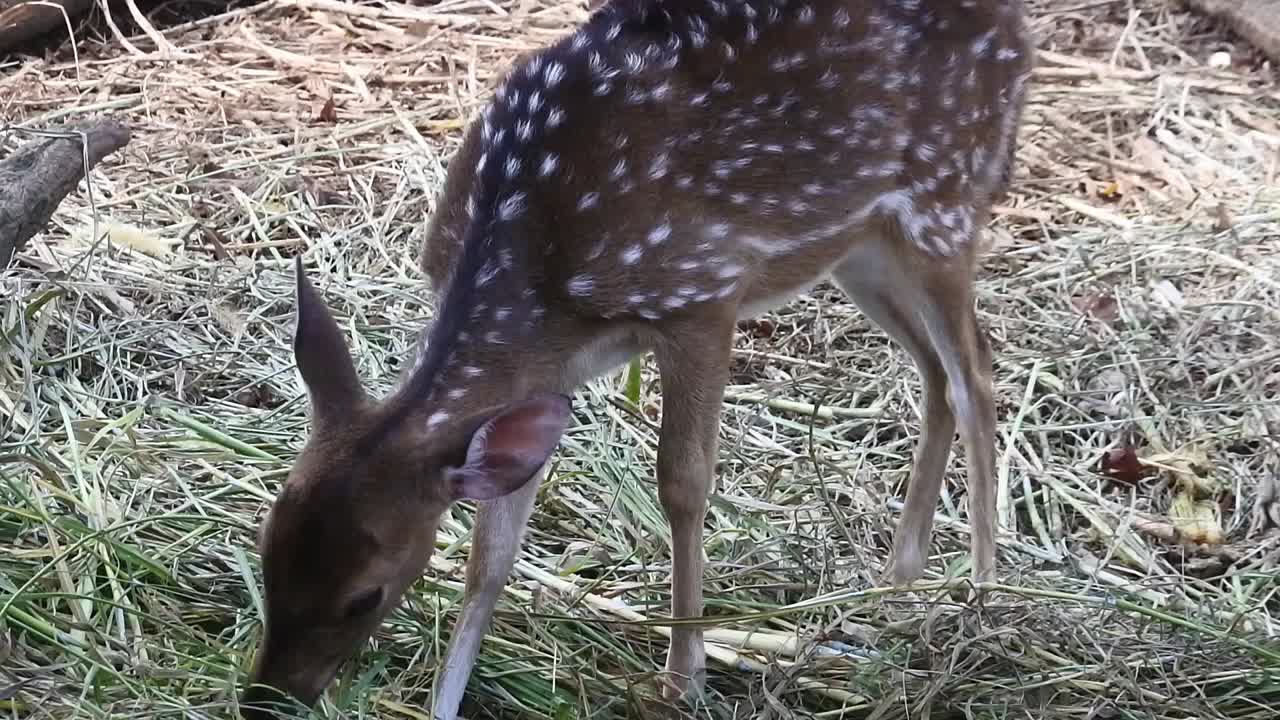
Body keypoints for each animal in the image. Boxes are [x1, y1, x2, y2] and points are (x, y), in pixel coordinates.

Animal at [239, 1, 1033, 718]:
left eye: (362, 596)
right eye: (265, 546)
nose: (266, 699)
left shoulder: (701, 293)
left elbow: (682, 484)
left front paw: (683, 679)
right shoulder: (547, 373)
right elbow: (489, 558)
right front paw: (445, 701)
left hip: (944, 201)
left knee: (976, 371)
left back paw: (983, 593)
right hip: (861, 244)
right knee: (934, 373)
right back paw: (898, 580)